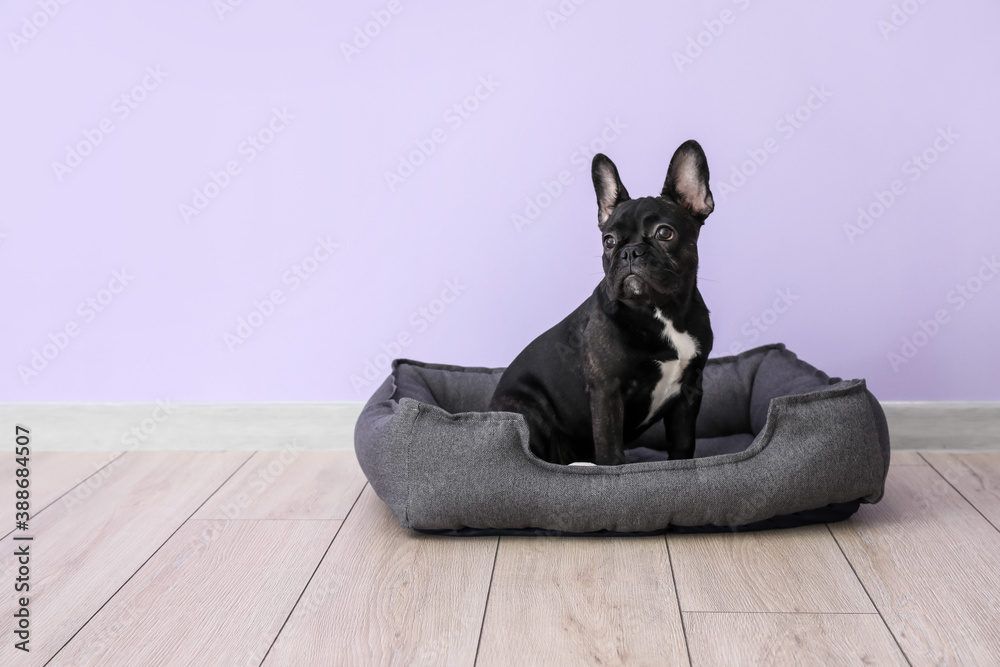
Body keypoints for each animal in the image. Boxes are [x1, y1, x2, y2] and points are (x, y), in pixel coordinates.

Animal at [490, 140, 712, 464]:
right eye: (608, 241)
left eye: (664, 233)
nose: (630, 252)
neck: (659, 311)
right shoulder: (607, 392)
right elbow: (611, 452)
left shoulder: (689, 392)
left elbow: (683, 444)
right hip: (529, 410)